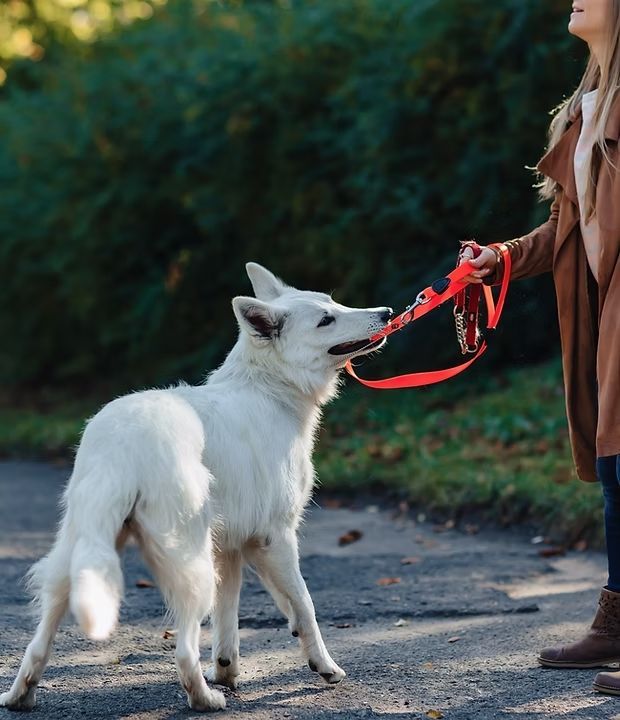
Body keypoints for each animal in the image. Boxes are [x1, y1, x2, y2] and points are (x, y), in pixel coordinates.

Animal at [1, 262, 392, 712]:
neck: (268, 387)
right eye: (326, 319)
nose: (387, 312)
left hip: (79, 558)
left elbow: (231, 618)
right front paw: (323, 665)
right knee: (184, 650)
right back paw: (205, 699)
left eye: (334, 303)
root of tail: (122, 441)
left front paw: (227, 670)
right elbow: (304, 603)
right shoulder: (276, 537)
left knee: (38, 642)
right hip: (191, 564)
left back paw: (20, 696)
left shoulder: (232, 548)